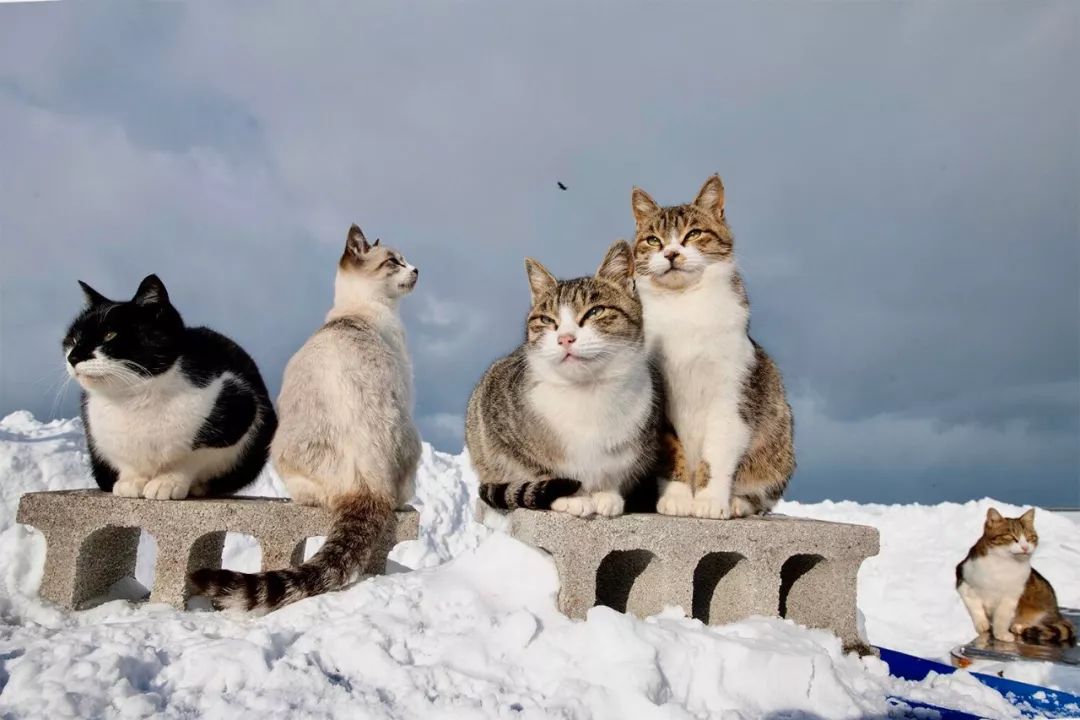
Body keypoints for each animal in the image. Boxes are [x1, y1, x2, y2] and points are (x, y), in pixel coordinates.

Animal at [62, 273, 278, 498]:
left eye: (109, 335)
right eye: (74, 339)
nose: (73, 357)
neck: (133, 399)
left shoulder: (239, 406)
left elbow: (191, 457)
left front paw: (167, 482)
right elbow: (126, 461)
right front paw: (131, 482)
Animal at [466, 241, 660, 518]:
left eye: (595, 311)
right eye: (547, 320)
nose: (565, 338)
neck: (587, 392)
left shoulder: (637, 441)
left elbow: (616, 469)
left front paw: (606, 494)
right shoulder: (496, 423)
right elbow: (536, 467)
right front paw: (571, 497)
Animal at [630, 177, 794, 520]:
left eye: (693, 234)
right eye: (653, 240)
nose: (671, 253)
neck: (683, 304)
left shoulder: (731, 395)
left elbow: (718, 453)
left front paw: (709, 501)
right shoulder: (658, 396)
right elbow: (670, 449)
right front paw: (677, 497)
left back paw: (738, 503)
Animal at [959, 509, 1075, 643]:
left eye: (1030, 538)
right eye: (1011, 537)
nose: (1025, 547)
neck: (1002, 564)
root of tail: (1058, 614)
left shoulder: (1012, 595)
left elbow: (1002, 615)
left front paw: (1001, 633)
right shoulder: (963, 579)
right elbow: (975, 606)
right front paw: (982, 624)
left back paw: (1020, 627)